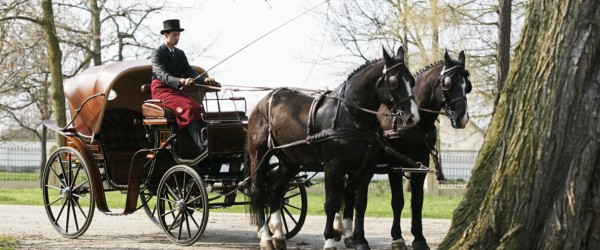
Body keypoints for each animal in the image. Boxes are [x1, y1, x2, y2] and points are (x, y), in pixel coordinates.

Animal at [246, 47, 420, 250]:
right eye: (393, 82)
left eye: (411, 80)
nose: (412, 117)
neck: (352, 116)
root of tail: (263, 102)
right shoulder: (333, 167)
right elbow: (331, 203)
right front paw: (329, 240)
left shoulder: (366, 169)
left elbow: (360, 203)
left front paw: (361, 241)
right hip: (259, 155)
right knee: (258, 193)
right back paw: (266, 237)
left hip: (290, 162)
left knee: (275, 192)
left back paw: (279, 236)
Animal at [340, 50, 472, 250]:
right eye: (448, 84)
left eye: (467, 85)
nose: (462, 118)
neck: (414, 125)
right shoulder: (395, 165)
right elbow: (398, 202)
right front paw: (397, 237)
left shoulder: (420, 164)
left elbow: (417, 202)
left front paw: (419, 238)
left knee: (350, 191)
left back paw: (348, 234)